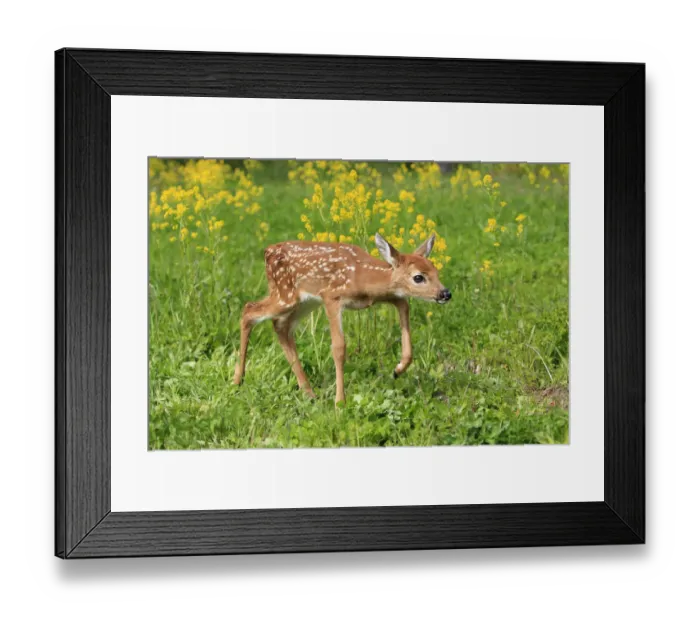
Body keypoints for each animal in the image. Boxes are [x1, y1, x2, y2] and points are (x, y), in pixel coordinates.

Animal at [232, 232, 452, 404]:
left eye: (436, 271)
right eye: (418, 277)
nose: (445, 293)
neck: (362, 277)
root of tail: (267, 251)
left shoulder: (388, 296)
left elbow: (405, 308)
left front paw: (398, 369)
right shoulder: (332, 297)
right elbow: (339, 347)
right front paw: (340, 402)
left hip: (303, 302)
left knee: (281, 327)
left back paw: (308, 392)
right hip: (285, 294)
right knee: (249, 310)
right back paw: (237, 380)